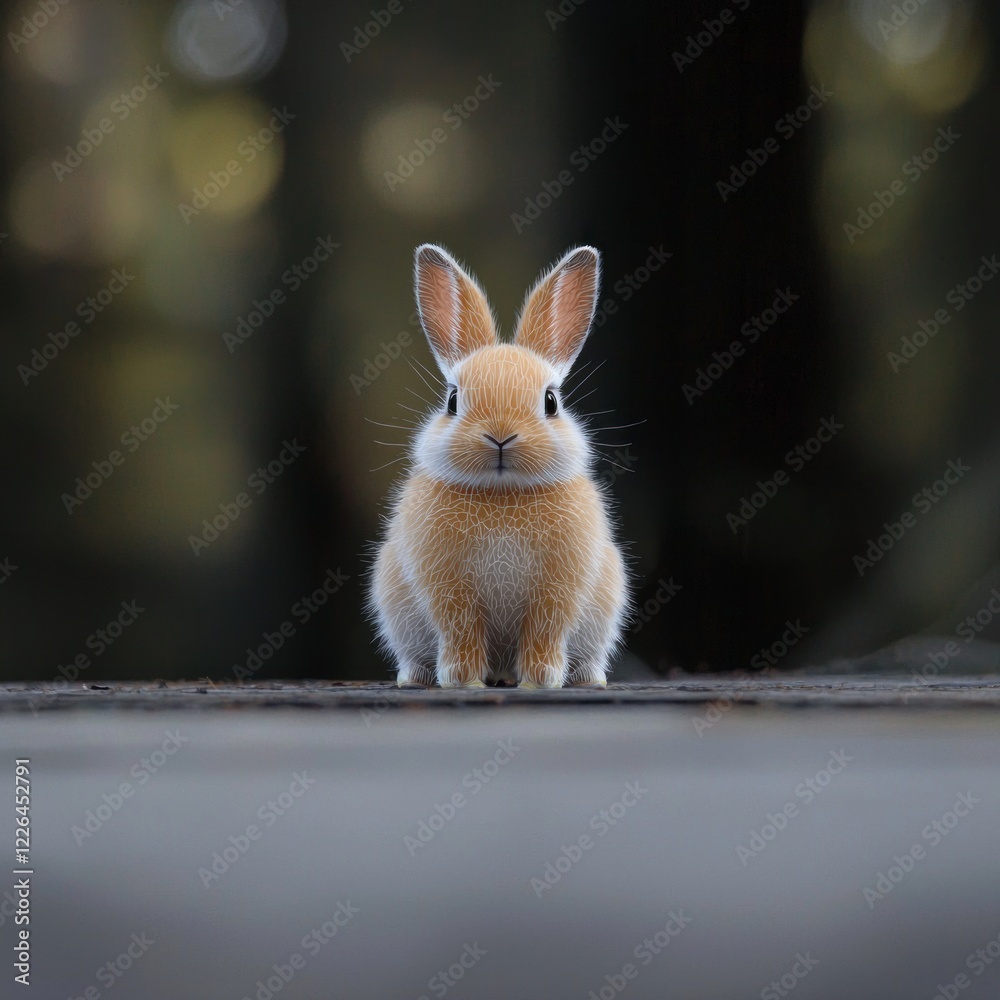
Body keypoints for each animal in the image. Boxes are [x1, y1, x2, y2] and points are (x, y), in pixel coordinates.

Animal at [370, 243, 628, 688]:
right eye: (453, 400)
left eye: (551, 402)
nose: (501, 435)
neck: (503, 493)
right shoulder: (449, 590)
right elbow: (461, 631)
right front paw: (463, 680)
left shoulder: (557, 590)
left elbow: (545, 631)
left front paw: (541, 680)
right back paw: (416, 678)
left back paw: (584, 679)